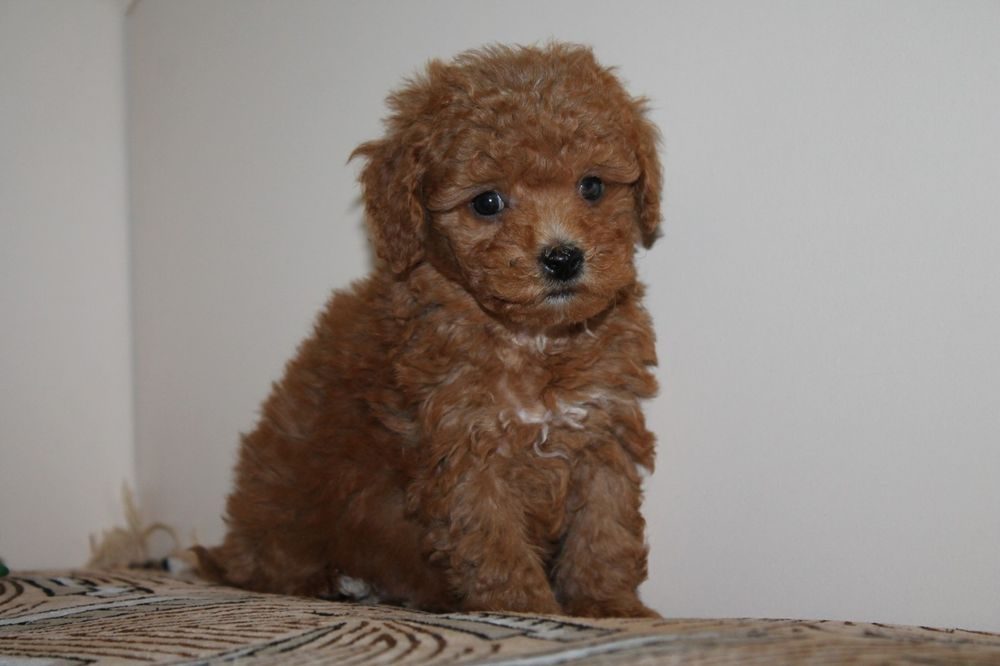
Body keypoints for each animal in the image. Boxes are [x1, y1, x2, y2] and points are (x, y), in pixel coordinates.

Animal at [197, 43, 662, 618]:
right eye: (487, 202)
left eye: (592, 186)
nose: (562, 258)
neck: (534, 341)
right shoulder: (462, 449)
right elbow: (494, 544)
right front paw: (522, 607)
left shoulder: (603, 428)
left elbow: (605, 529)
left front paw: (609, 606)